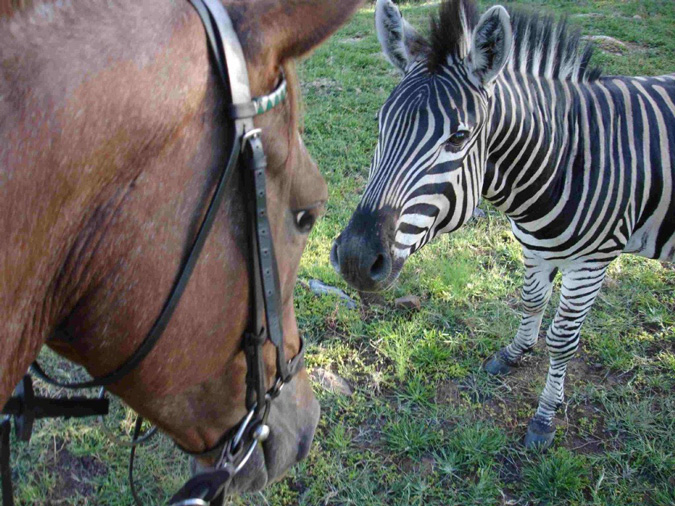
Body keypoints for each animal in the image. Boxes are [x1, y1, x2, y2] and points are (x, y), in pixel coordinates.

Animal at [332, 0, 675, 446]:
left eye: (459, 137)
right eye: (379, 124)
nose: (355, 259)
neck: (566, 158)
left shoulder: (593, 262)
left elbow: (562, 340)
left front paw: (545, 417)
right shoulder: (534, 245)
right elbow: (530, 301)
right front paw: (514, 354)